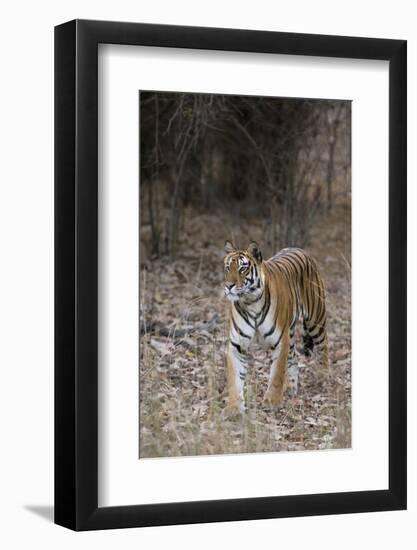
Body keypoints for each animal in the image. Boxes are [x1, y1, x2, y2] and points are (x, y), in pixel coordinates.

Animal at [223, 242, 326, 414]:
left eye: (242, 268)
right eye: (227, 268)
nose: (228, 286)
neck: (250, 301)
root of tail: (300, 249)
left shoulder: (280, 341)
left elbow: (277, 373)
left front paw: (272, 401)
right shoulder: (237, 344)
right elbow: (234, 378)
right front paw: (234, 407)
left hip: (315, 320)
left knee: (325, 350)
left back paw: (326, 378)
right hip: (291, 333)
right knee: (294, 358)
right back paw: (290, 388)